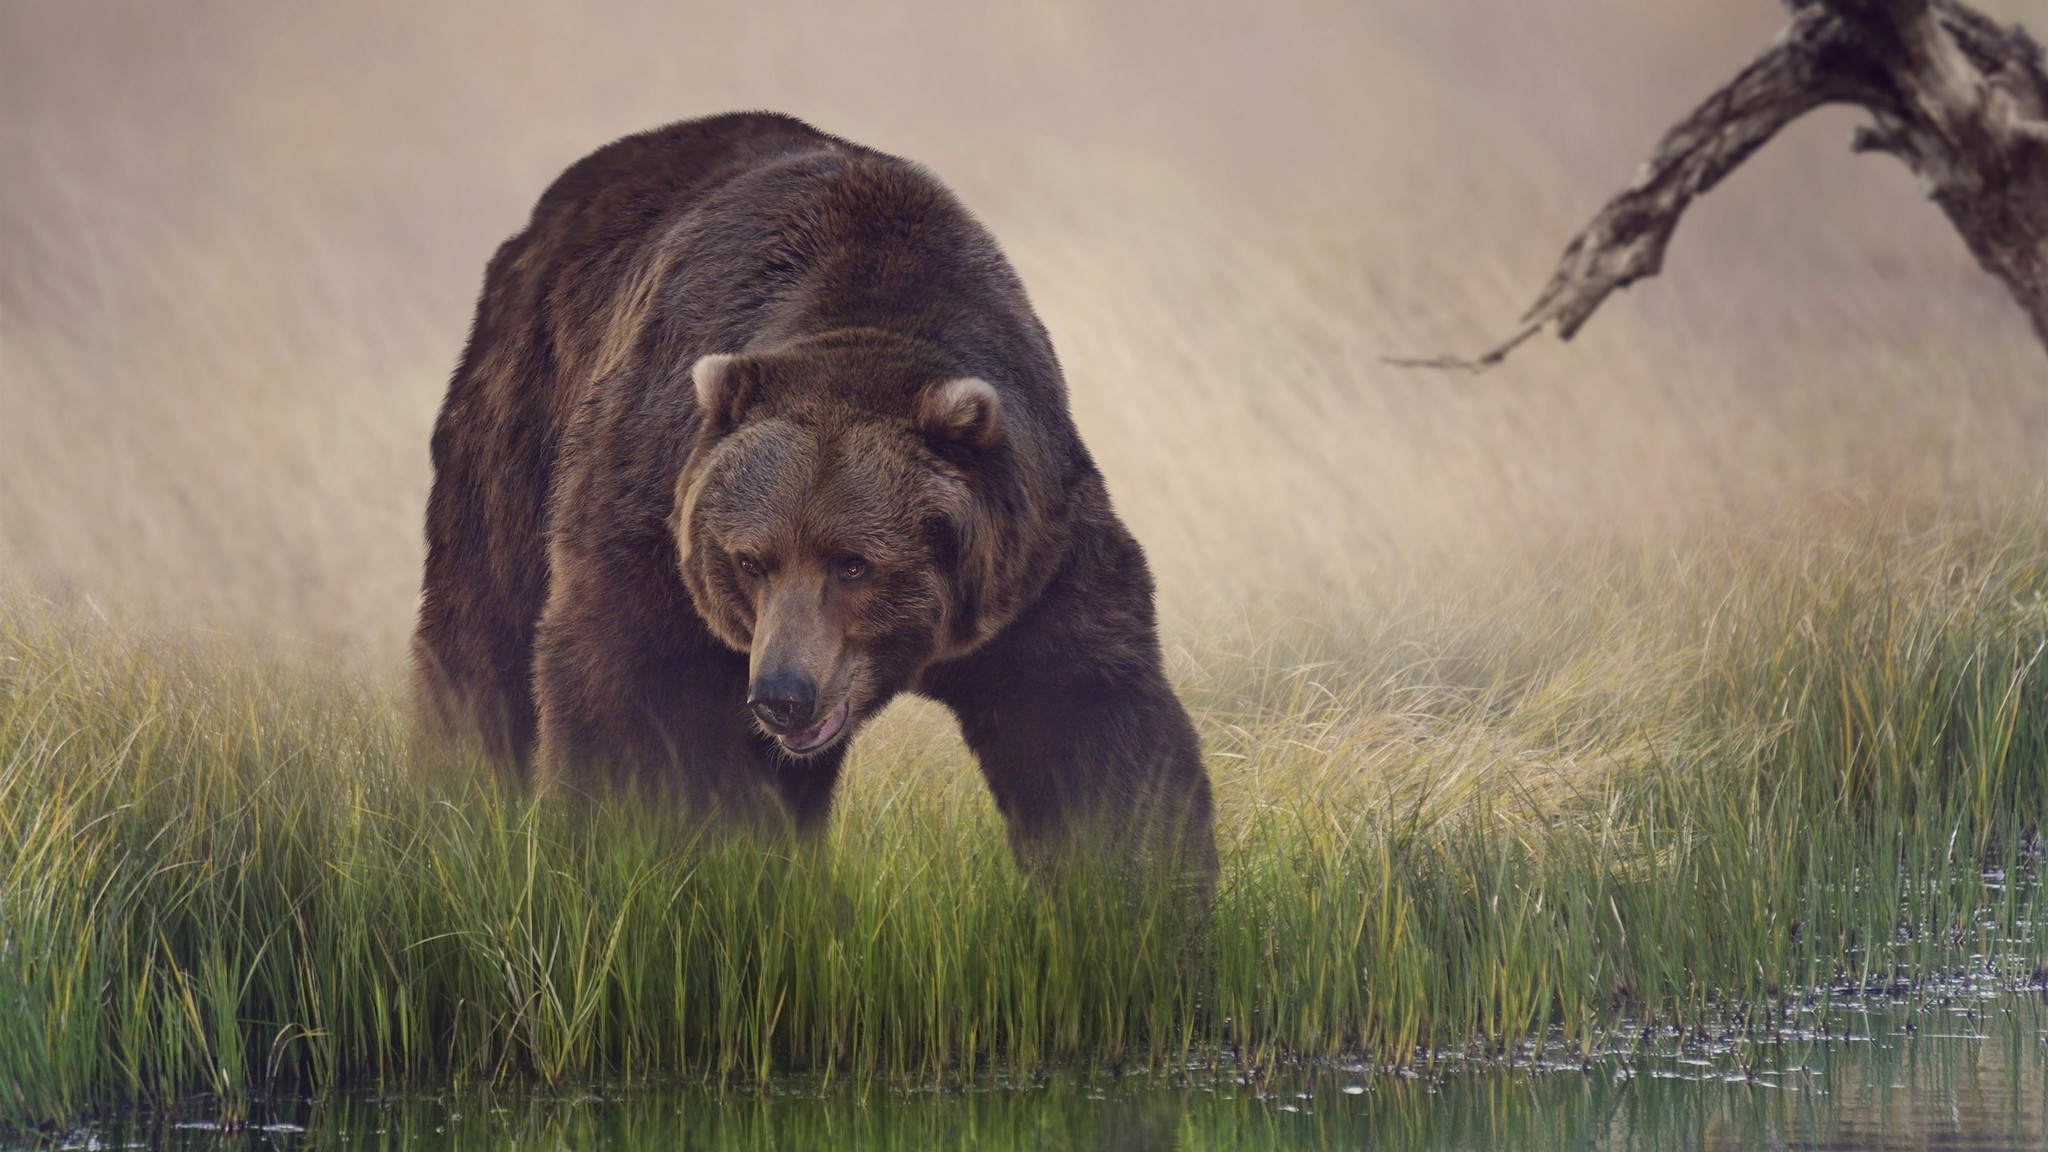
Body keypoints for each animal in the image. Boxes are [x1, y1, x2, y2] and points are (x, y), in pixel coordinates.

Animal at [411, 109, 1212, 877]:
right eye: (748, 560)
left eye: (854, 562)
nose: (781, 695)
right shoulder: (653, 513)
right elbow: (627, 697)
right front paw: (619, 854)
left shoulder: (1033, 557)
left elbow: (1092, 724)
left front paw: (1128, 884)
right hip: (520, 421)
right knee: (483, 632)